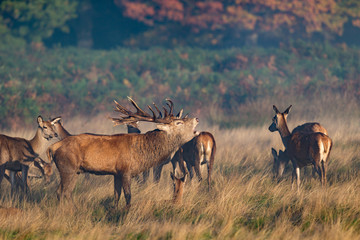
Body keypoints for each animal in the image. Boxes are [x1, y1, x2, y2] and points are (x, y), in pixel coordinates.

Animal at [51, 97, 200, 208]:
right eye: (179, 123)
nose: (196, 119)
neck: (142, 154)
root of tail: (53, 147)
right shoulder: (126, 171)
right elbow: (128, 196)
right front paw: (127, 212)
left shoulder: (116, 173)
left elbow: (116, 196)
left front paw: (116, 210)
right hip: (67, 168)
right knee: (62, 192)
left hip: (75, 171)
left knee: (64, 192)